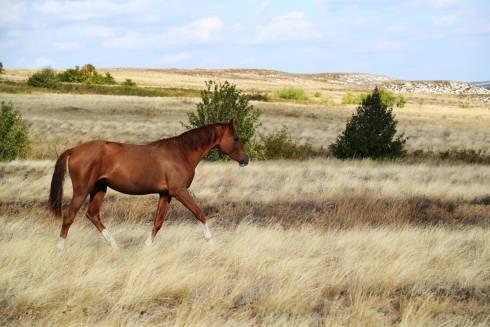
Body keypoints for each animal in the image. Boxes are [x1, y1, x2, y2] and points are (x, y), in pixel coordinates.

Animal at [48, 119, 249, 250]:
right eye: (236, 138)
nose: (246, 159)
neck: (181, 153)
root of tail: (73, 150)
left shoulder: (166, 194)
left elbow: (158, 222)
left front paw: (146, 247)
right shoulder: (179, 191)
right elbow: (200, 213)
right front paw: (212, 243)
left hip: (99, 189)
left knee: (93, 215)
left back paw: (114, 246)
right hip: (82, 190)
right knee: (69, 216)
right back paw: (60, 249)